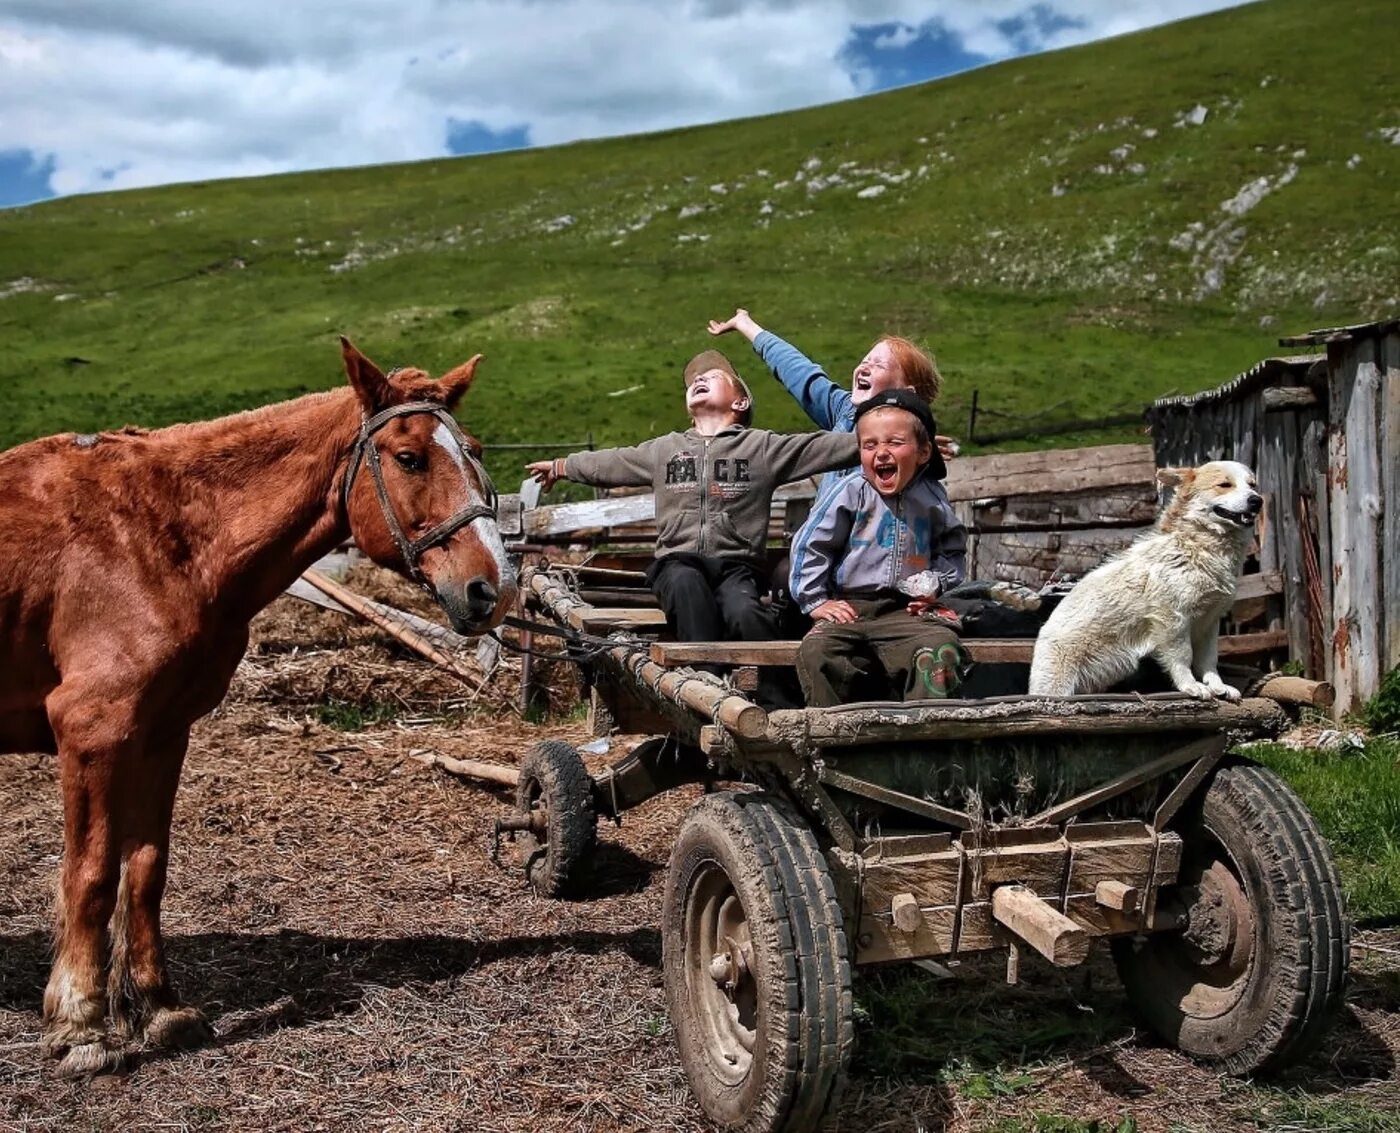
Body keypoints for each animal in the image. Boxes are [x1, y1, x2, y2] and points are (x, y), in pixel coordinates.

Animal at [0, 333, 518, 1069]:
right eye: (410, 457)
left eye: (472, 449)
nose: (492, 588)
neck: (157, 537)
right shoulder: (93, 732)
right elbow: (91, 873)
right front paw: (81, 1024)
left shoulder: (162, 734)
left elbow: (145, 868)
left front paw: (159, 1007)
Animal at [1030, 459, 1271, 697]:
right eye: (1225, 485)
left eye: (1252, 485)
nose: (1256, 501)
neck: (1196, 546)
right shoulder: (1173, 619)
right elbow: (1183, 657)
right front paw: (1190, 685)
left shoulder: (1210, 621)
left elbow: (1209, 661)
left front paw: (1218, 686)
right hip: (1057, 684)